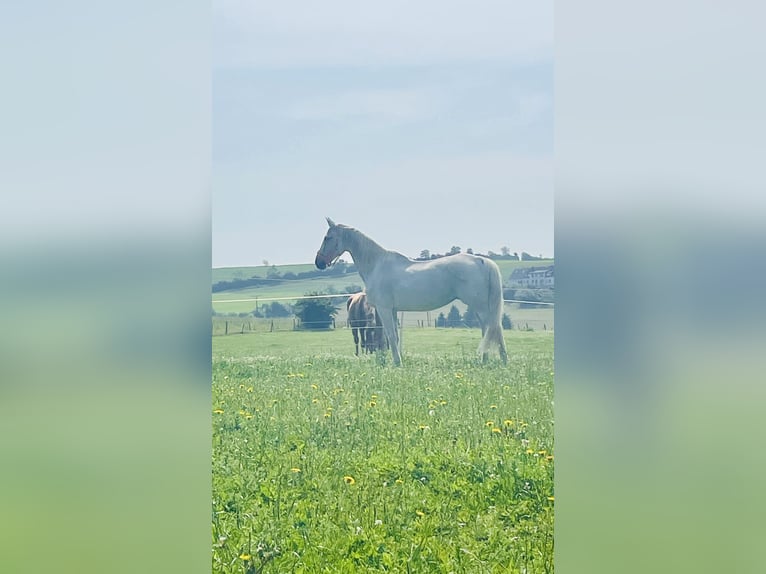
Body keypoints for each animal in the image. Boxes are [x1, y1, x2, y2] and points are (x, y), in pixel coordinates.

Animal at [316, 218, 508, 366]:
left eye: (327, 237)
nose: (319, 262)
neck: (377, 264)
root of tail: (481, 261)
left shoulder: (384, 309)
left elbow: (389, 337)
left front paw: (396, 363)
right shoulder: (392, 310)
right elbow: (390, 338)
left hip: (480, 307)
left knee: (493, 329)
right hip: (480, 308)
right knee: (491, 329)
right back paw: (492, 361)